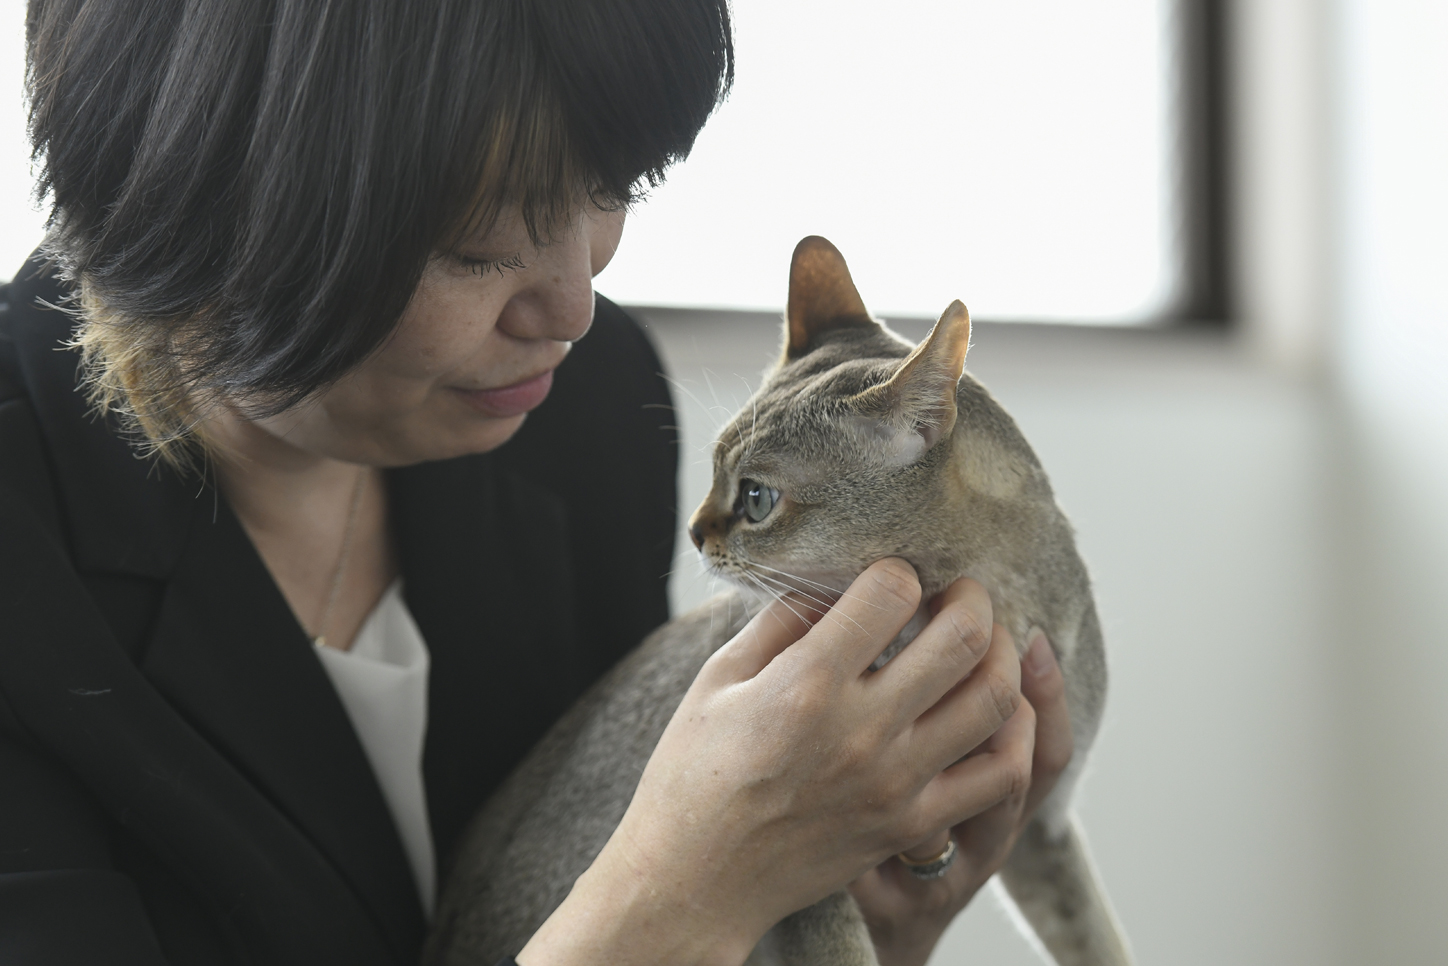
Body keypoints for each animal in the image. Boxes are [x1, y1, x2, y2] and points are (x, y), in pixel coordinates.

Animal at [422, 236, 1135, 966]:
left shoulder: (1043, 825)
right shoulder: (808, 885)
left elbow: (1098, 939)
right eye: (712, 473)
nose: (693, 531)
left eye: (757, 499)